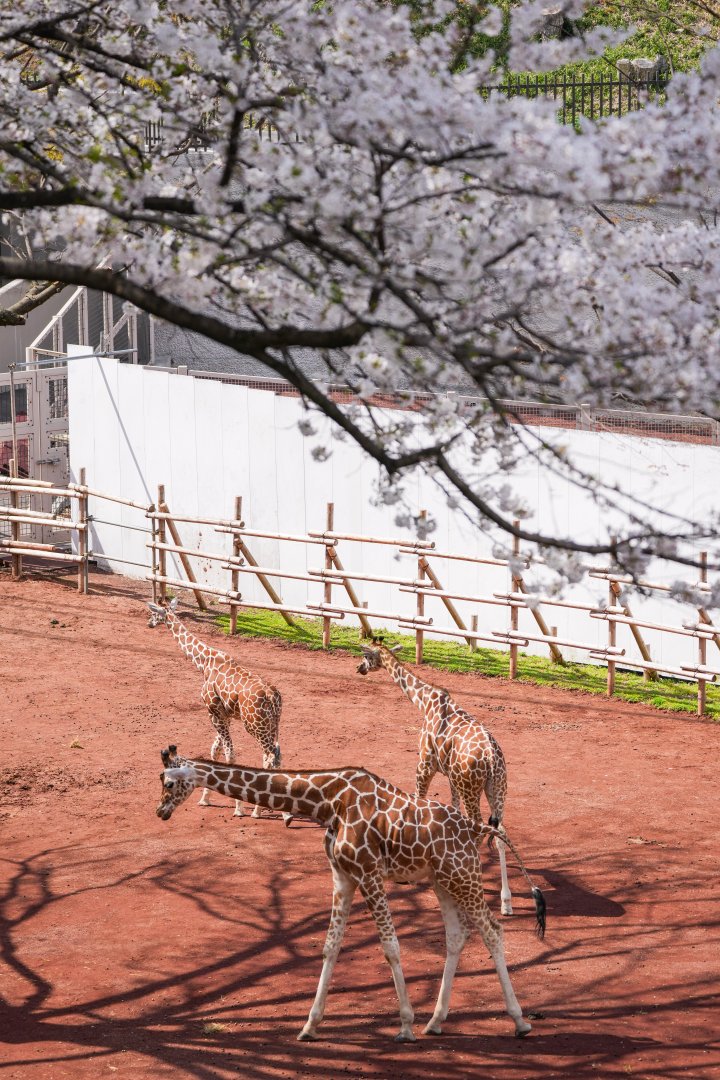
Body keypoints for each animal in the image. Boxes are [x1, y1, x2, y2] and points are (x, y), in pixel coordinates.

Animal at [147, 598, 285, 819]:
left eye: (153, 613)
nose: (149, 623)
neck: (203, 663)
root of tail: (273, 697)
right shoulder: (224, 715)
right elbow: (215, 751)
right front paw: (205, 799)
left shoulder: (213, 712)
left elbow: (229, 755)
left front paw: (238, 808)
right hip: (273, 725)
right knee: (277, 756)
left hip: (256, 726)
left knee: (270, 757)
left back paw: (257, 811)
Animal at [156, 745, 545, 1043]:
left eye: (170, 782)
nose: (160, 811)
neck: (327, 801)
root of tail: (475, 828)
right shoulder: (342, 876)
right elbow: (331, 946)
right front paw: (310, 1025)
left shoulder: (369, 873)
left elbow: (391, 947)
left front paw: (405, 1026)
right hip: (441, 880)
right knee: (457, 935)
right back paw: (436, 1022)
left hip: (463, 875)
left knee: (492, 929)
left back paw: (519, 1021)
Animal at [357, 641, 515, 916]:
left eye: (366, 656)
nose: (359, 668)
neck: (425, 702)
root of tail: (491, 757)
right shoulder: (451, 777)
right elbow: (453, 812)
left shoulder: (424, 765)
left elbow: (416, 802)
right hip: (496, 788)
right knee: (500, 831)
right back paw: (506, 901)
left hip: (471, 786)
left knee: (479, 826)